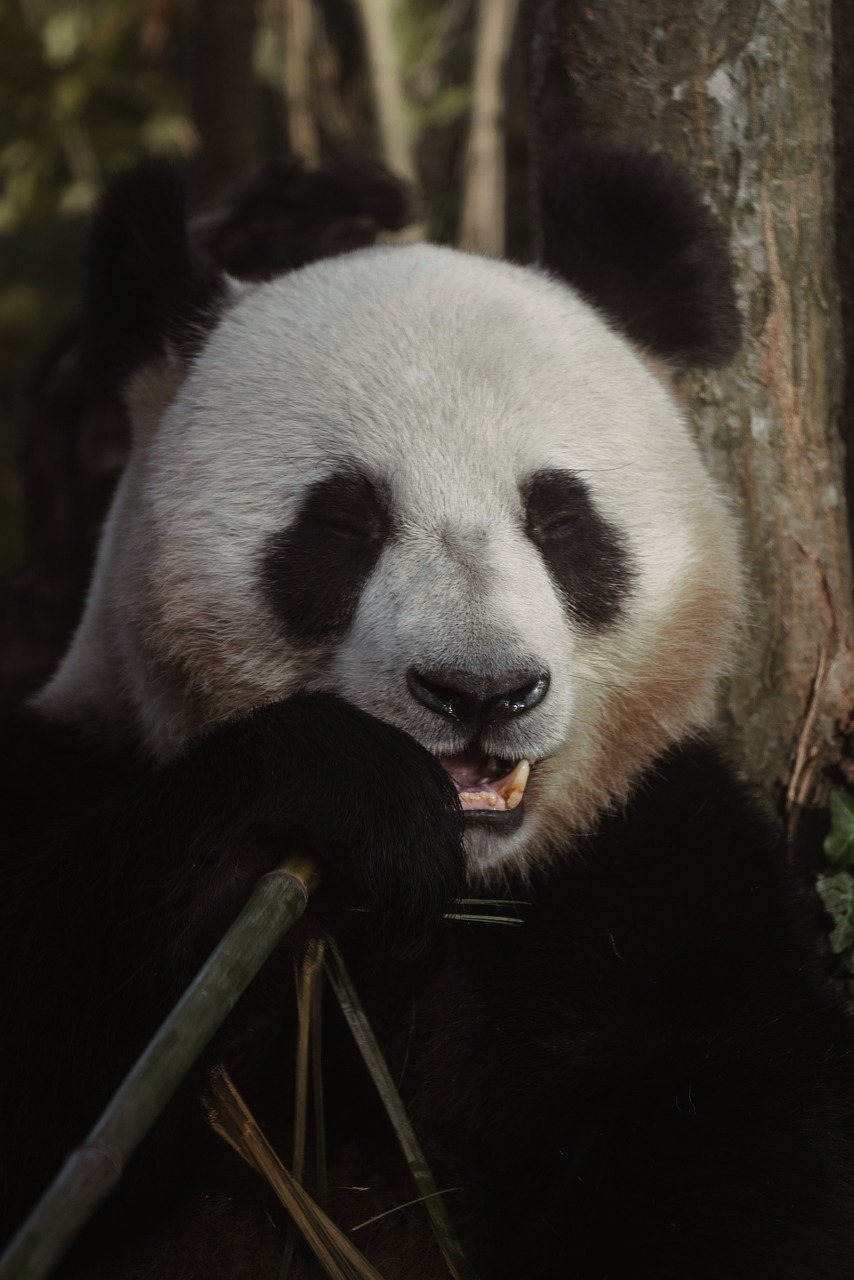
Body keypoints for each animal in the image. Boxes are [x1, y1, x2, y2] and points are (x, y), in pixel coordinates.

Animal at [3, 133, 854, 1280]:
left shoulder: (652, 864)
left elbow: (731, 1120)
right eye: (345, 523)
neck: (457, 884)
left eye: (558, 518)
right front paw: (338, 787)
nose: (480, 690)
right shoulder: (82, 763)